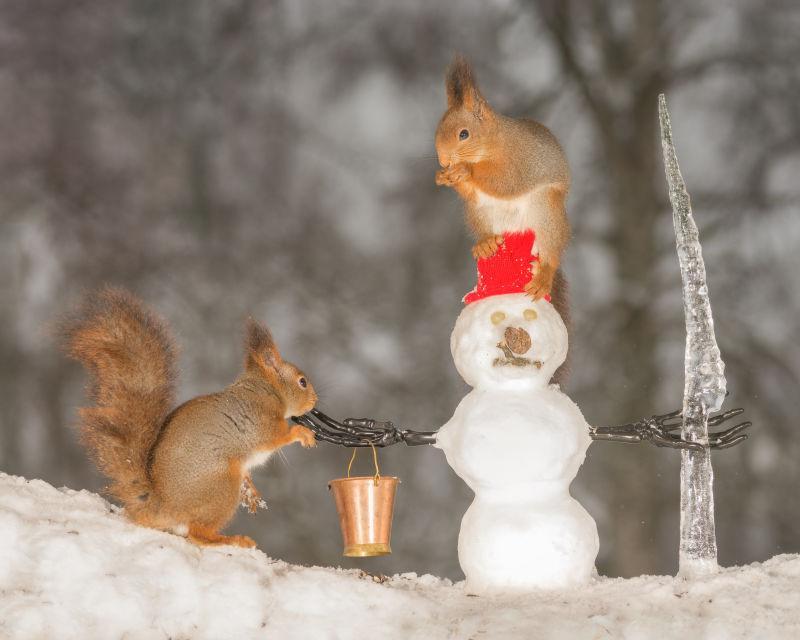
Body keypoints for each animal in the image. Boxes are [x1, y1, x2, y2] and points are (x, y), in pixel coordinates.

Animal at [61, 288, 318, 548]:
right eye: (302, 382)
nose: (315, 401)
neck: (268, 390)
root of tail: (162, 507)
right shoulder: (262, 420)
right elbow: (278, 436)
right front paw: (303, 433)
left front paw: (251, 491)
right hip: (221, 487)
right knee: (198, 534)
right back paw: (230, 540)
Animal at [434, 54, 572, 304]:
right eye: (438, 130)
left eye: (464, 134)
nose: (443, 161)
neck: (494, 143)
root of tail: (516, 230)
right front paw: (444, 176)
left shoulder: (520, 162)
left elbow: (505, 181)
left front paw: (465, 170)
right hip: (478, 213)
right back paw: (486, 243)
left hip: (547, 211)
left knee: (551, 254)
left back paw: (543, 276)